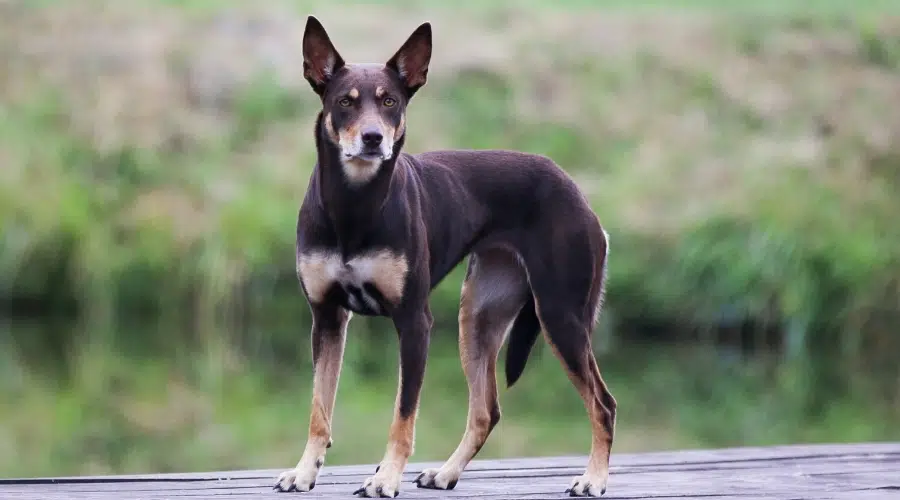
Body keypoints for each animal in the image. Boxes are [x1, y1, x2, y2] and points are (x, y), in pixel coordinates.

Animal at [272, 14, 620, 496]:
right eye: (344, 102)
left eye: (390, 101)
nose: (373, 138)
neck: (354, 205)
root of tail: (580, 196)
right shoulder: (326, 317)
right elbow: (318, 410)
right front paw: (304, 472)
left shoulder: (414, 322)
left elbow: (403, 417)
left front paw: (386, 477)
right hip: (478, 317)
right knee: (486, 410)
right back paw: (446, 473)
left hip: (560, 315)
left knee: (603, 404)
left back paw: (593, 478)